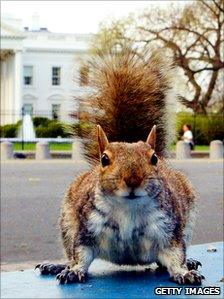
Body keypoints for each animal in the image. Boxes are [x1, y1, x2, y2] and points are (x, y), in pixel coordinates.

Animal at [35, 51, 205, 286]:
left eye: (154, 159)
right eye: (104, 159)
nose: (133, 180)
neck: (128, 210)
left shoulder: (169, 230)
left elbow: (175, 255)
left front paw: (184, 271)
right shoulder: (85, 228)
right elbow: (80, 254)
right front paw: (74, 271)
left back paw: (189, 262)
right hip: (67, 225)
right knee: (69, 253)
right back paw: (58, 265)